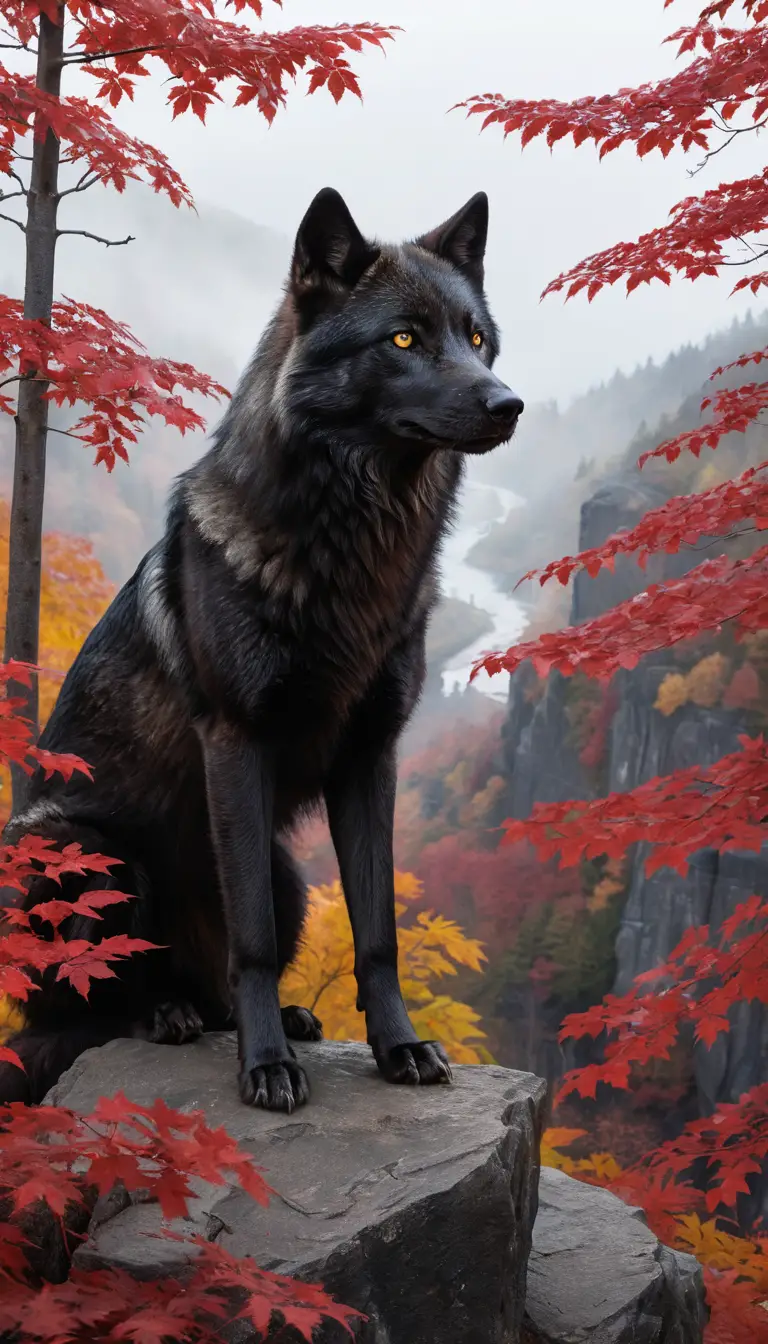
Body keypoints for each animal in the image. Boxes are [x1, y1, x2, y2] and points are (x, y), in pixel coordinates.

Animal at [0, 188, 523, 1112]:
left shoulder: (371, 758)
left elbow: (378, 932)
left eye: (476, 337)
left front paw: (397, 1048)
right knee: (83, 1012)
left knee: (220, 979)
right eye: (404, 339)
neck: (349, 546)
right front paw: (266, 1066)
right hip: (88, 852)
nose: (509, 404)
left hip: (288, 874)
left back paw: (262, 1015)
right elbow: (250, 938)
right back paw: (168, 1015)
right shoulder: (236, 744)